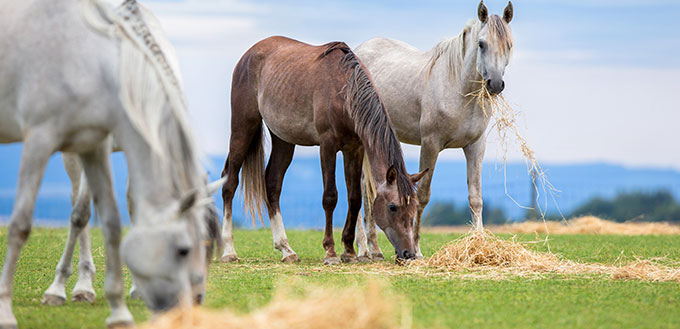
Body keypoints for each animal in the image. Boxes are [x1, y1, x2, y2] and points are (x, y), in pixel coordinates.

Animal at [0, 0, 218, 326]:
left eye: (208, 246)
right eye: (185, 249)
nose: (196, 300)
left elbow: (127, 210)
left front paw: (135, 290)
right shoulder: (85, 142)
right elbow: (80, 214)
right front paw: (65, 288)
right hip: (70, 153)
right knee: (78, 210)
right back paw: (76, 286)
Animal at [220, 36, 428, 262]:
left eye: (413, 207)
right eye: (392, 207)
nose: (409, 253)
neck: (344, 91)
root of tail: (249, 54)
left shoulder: (354, 149)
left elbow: (354, 198)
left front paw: (349, 251)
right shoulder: (327, 146)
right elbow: (330, 197)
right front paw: (330, 252)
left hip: (283, 139)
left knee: (272, 184)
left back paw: (286, 250)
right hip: (243, 126)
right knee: (229, 182)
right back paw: (229, 251)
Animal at [356, 1, 516, 258]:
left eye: (509, 45)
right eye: (481, 44)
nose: (495, 84)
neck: (456, 86)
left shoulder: (475, 146)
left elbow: (476, 197)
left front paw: (479, 243)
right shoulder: (431, 144)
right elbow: (422, 196)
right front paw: (417, 250)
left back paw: (374, 249)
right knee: (361, 191)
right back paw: (364, 248)